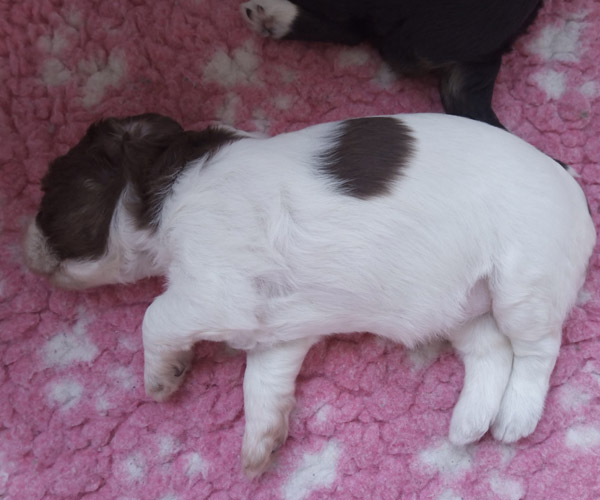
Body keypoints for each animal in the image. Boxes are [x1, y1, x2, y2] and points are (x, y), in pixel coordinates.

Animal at [24, 112, 595, 478]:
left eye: (49, 191)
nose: (26, 253)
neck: (164, 190)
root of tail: (568, 177)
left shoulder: (217, 290)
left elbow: (156, 315)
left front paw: (162, 377)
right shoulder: (277, 330)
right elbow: (263, 383)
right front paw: (260, 447)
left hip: (525, 282)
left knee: (537, 349)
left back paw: (516, 419)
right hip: (464, 307)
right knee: (491, 352)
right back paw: (468, 424)